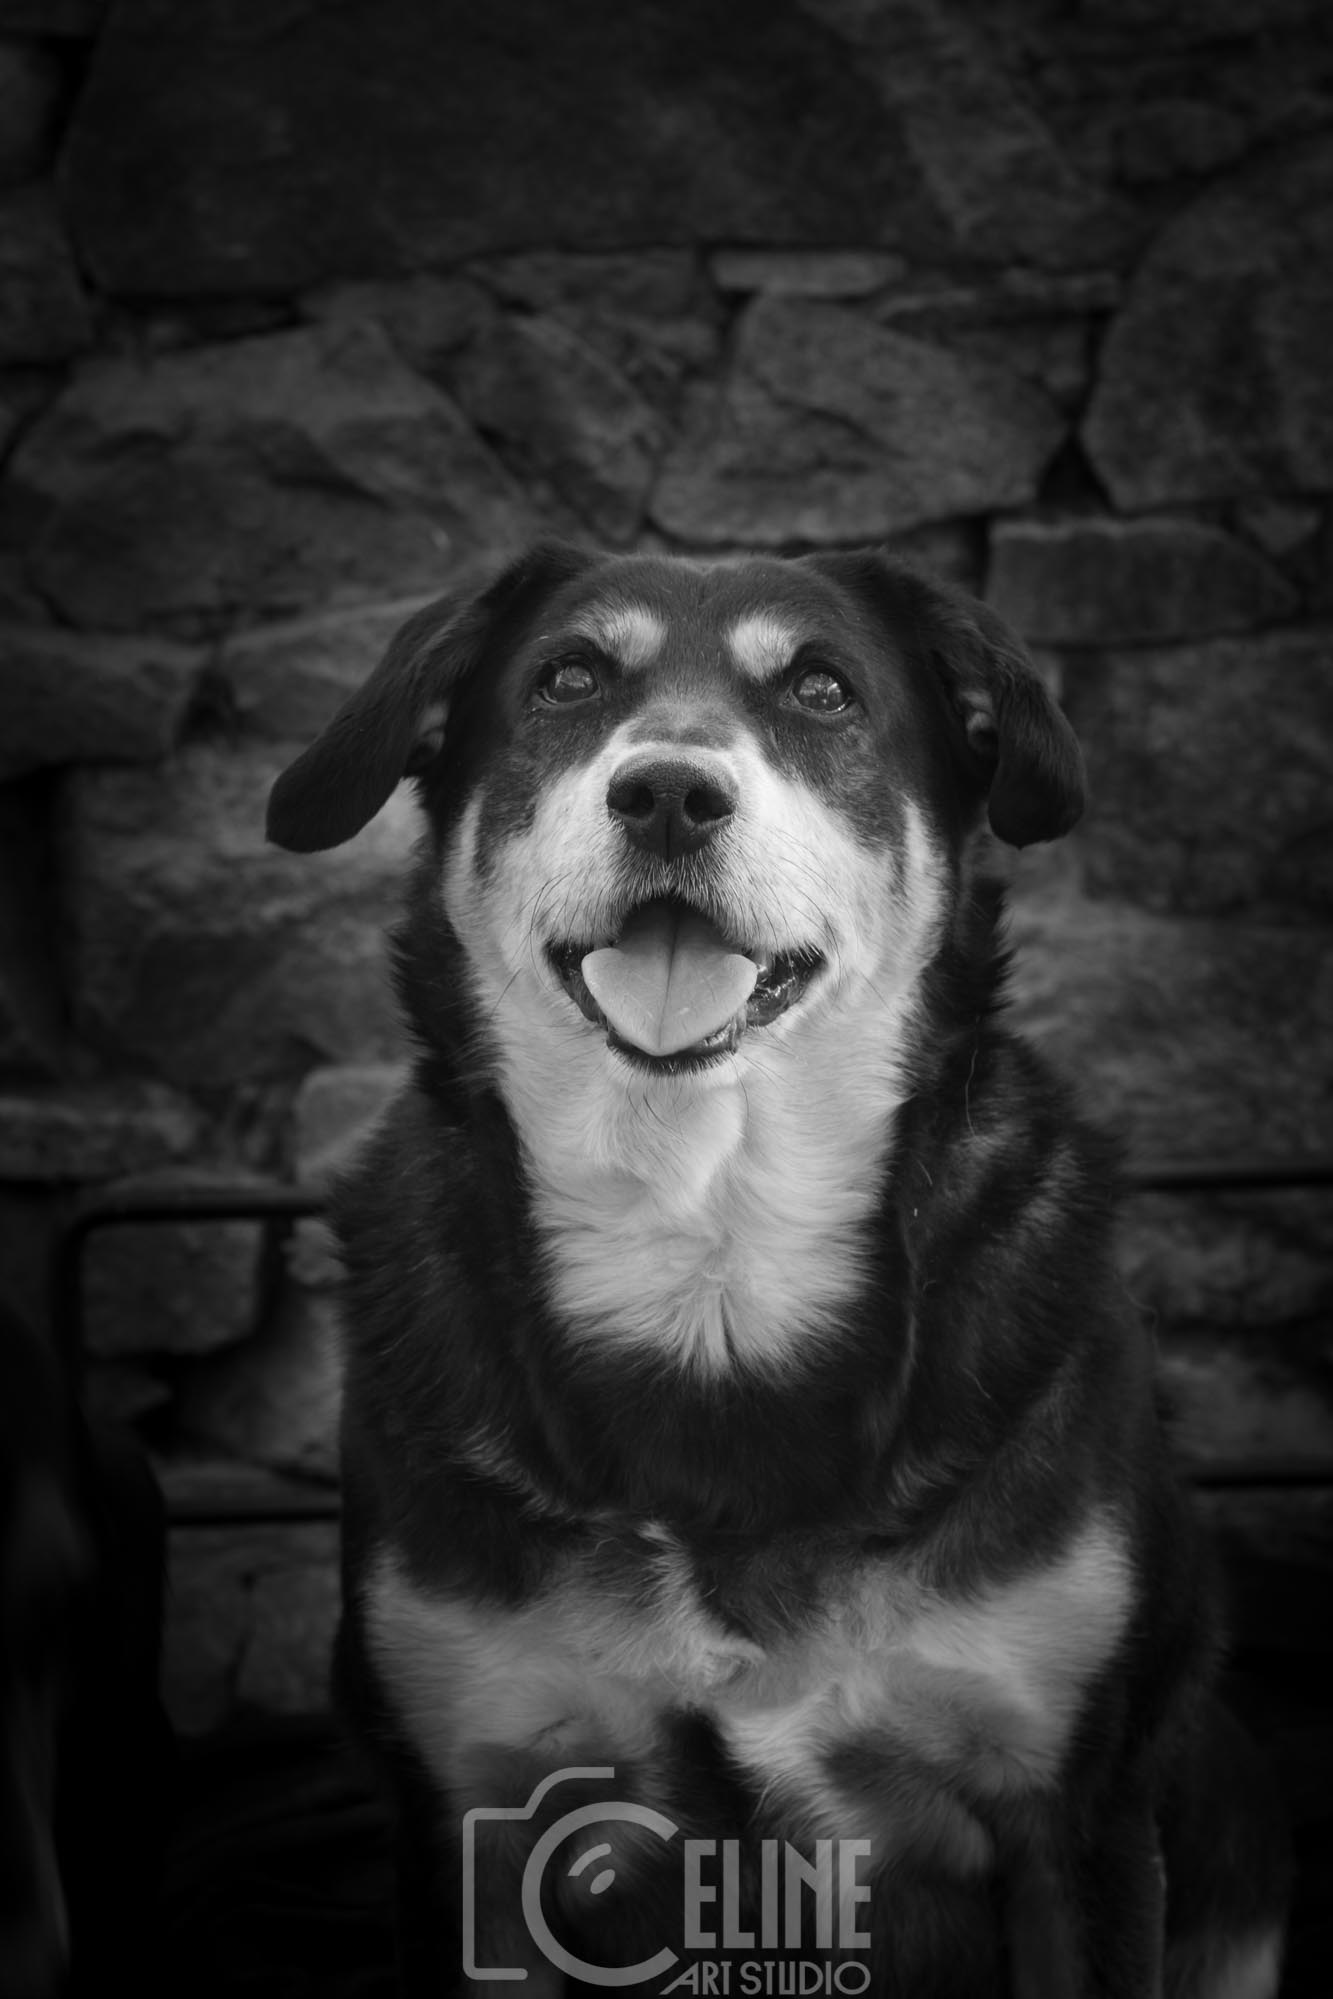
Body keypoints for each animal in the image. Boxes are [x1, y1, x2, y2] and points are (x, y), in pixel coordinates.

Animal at [267, 543, 1289, 1998]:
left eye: (821, 689)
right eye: (567, 678)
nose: (667, 793)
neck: (711, 1252)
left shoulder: (1074, 1812)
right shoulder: (473, 1808)